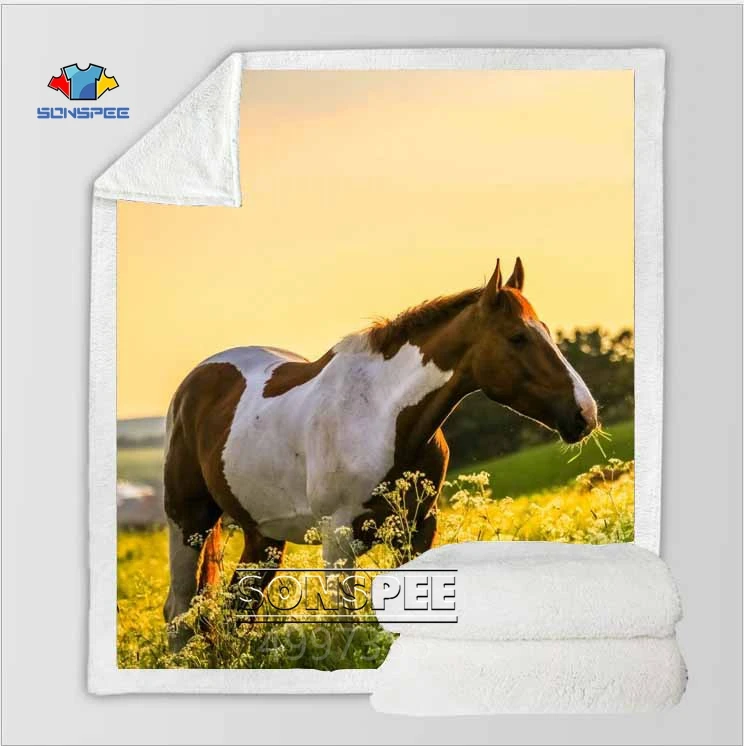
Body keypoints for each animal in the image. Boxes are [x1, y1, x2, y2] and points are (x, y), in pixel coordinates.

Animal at [163, 258, 598, 640]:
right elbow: (345, 622)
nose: (585, 413)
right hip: (189, 524)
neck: (382, 413)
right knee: (179, 610)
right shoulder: (337, 539)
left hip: (262, 536)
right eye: (517, 337)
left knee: (237, 606)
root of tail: (193, 383)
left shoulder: (419, 528)